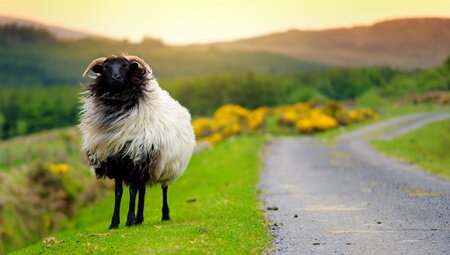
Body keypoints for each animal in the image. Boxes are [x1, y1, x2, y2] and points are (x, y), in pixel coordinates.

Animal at [79, 54, 195, 229]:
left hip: (167, 164)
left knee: (164, 188)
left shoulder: (135, 159)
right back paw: (140, 218)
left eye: (126, 67)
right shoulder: (116, 161)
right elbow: (119, 192)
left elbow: (132, 191)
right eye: (105, 67)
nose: (116, 77)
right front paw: (115, 223)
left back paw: (164, 215)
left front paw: (129, 220)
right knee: (143, 190)